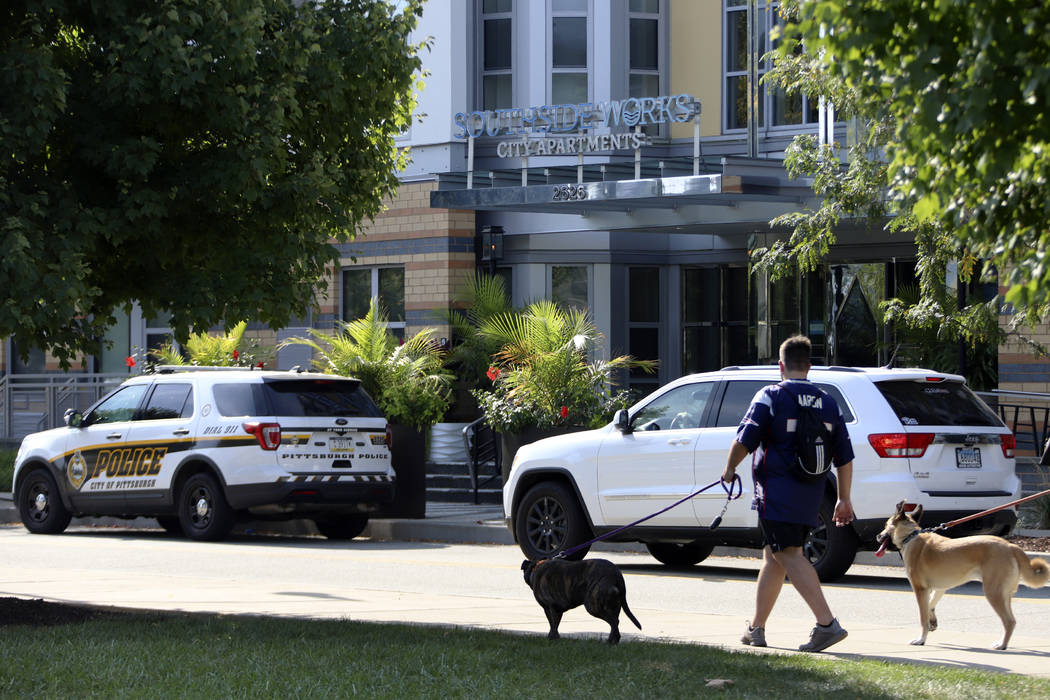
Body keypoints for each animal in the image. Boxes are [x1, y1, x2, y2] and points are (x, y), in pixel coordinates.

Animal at [869, 501, 1050, 650]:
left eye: (886, 525)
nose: (877, 536)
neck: (910, 537)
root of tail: (1011, 546)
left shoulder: (920, 589)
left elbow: (922, 616)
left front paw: (921, 639)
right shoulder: (939, 588)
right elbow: (930, 606)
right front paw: (932, 622)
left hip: (994, 592)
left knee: (1009, 621)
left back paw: (1002, 645)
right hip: (1005, 594)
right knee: (1012, 620)